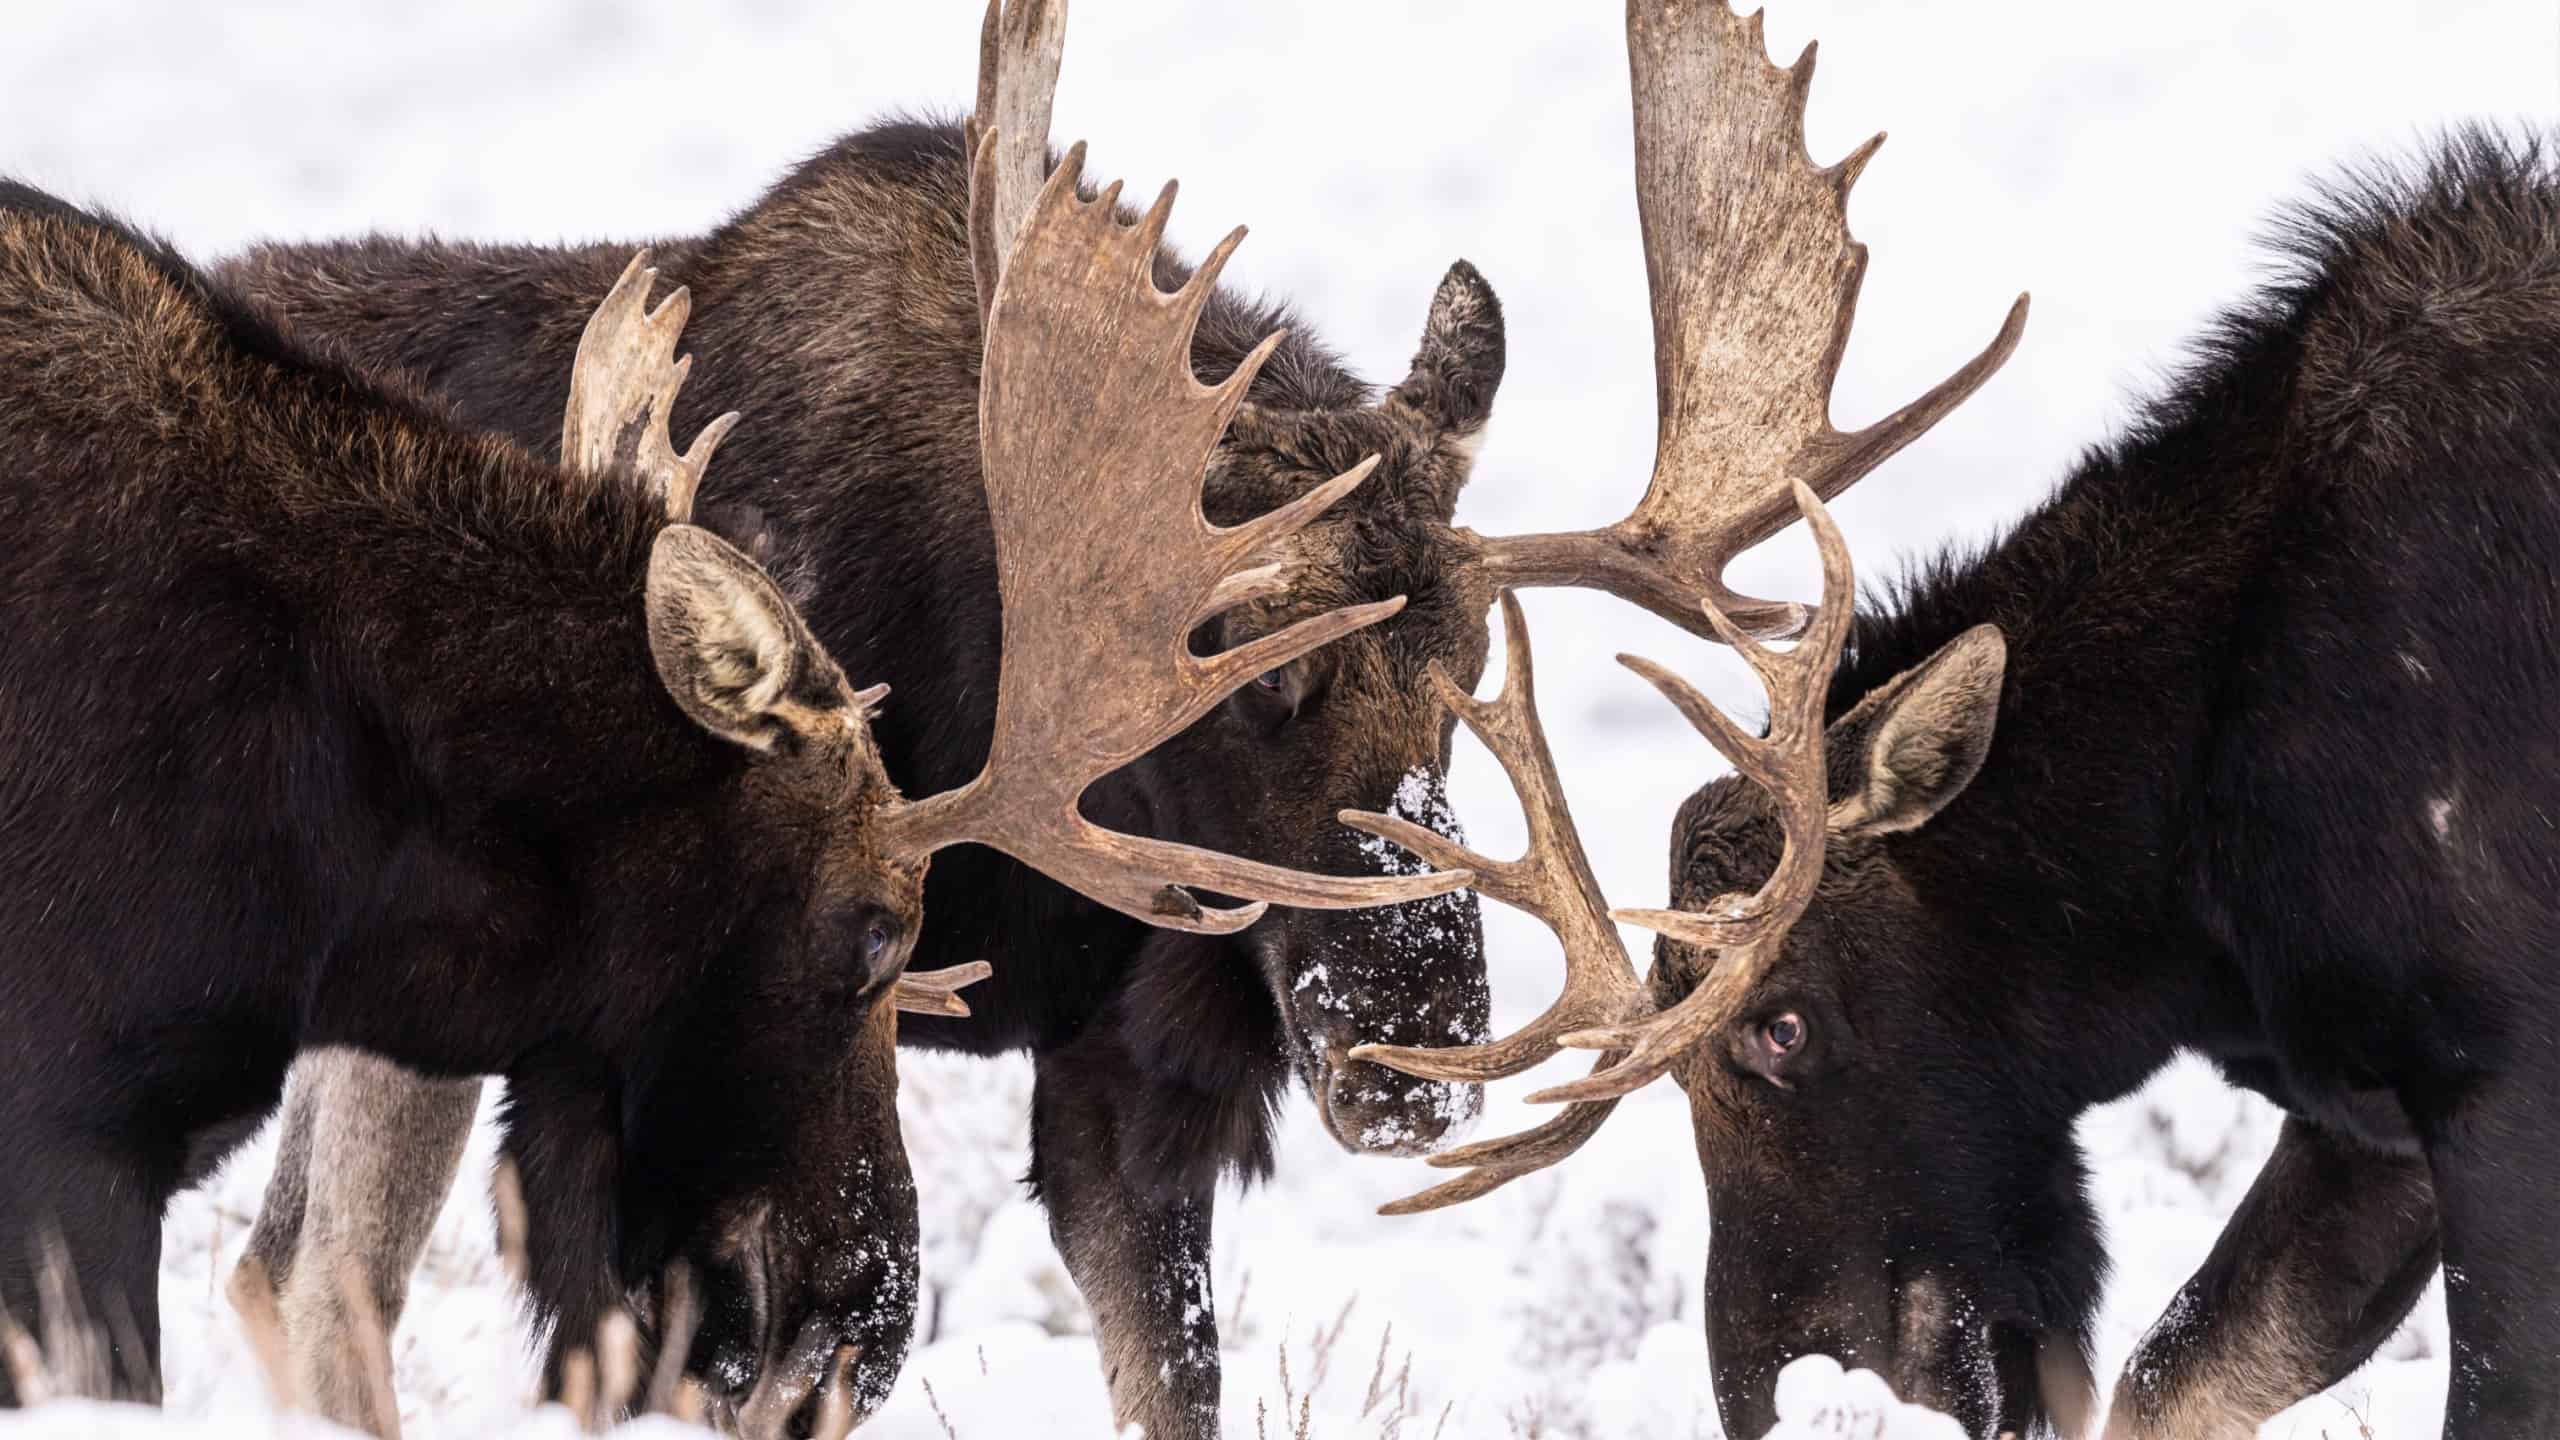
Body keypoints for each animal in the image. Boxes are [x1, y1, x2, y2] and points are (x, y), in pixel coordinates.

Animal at [0, 115, 1455, 1434]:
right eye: (1258, 676)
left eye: (1472, 676)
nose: (1417, 1056)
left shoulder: (1126, 1069)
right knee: (315, 1273)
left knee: (291, 1273)